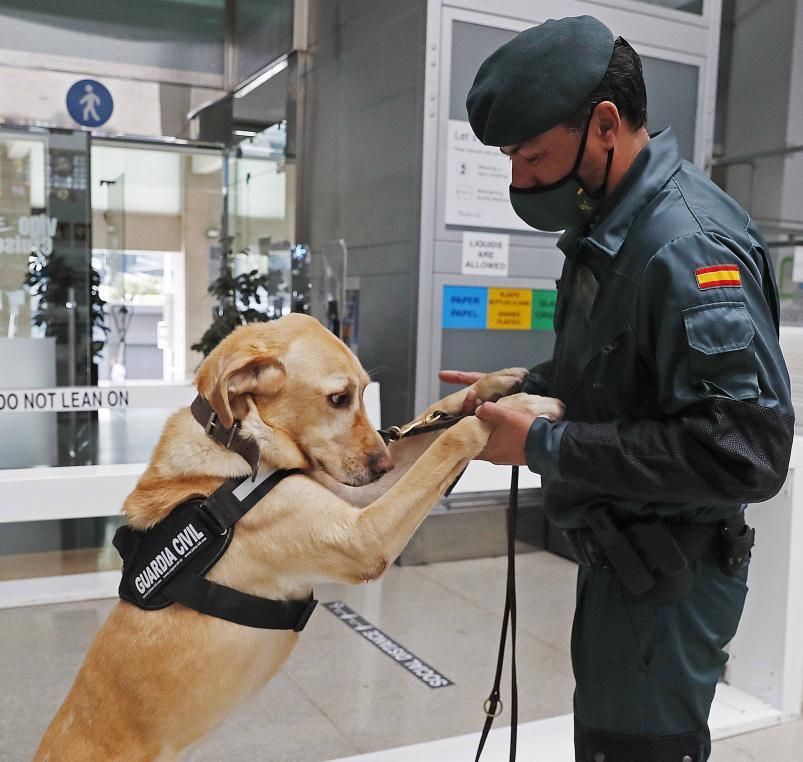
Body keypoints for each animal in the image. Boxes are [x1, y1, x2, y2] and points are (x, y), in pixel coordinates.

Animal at [33, 312, 560, 756]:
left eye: (364, 393)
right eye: (338, 398)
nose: (383, 464)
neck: (242, 445)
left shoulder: (355, 496)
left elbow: (436, 419)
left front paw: (498, 387)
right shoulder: (362, 537)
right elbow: (452, 436)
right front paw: (513, 409)